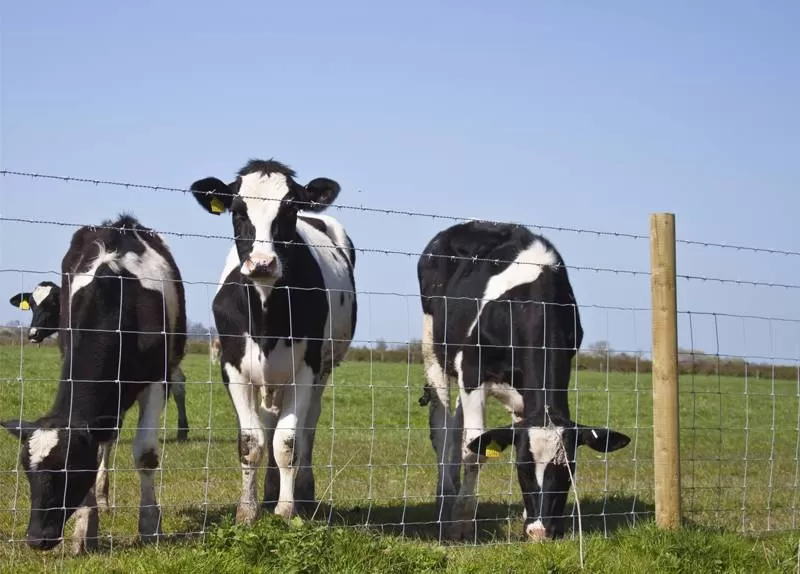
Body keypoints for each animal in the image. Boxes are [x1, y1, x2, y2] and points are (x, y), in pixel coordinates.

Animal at [0, 215, 188, 552]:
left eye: (70, 469)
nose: (37, 538)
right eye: (27, 471)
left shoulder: (158, 378)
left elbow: (145, 454)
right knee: (107, 439)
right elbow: (98, 448)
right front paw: (85, 527)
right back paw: (101, 500)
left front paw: (150, 526)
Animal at [190, 158, 356, 528]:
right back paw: (268, 491)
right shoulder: (232, 368)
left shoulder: (306, 368)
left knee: (307, 425)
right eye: (238, 211)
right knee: (268, 421)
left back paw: (302, 493)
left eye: (290, 209)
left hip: (324, 367)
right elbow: (252, 440)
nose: (263, 263)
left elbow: (288, 441)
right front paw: (247, 510)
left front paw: (286, 509)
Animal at [418, 222, 632, 544]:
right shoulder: (472, 370)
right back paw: (445, 501)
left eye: (568, 470)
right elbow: (475, 451)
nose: (540, 531)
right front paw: (462, 524)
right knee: (443, 431)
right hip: (434, 347)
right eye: (523, 469)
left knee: (456, 425)